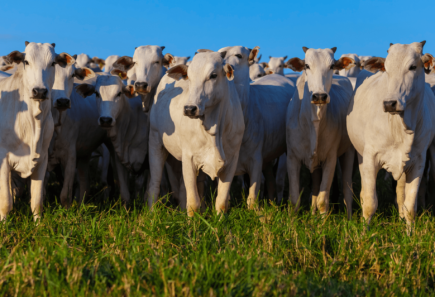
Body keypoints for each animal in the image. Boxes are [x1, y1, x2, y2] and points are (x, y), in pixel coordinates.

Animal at [0, 41, 74, 219]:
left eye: (53, 63)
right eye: (26, 62)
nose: (39, 91)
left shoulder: (42, 160)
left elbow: (37, 201)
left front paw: (39, 223)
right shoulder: (3, 160)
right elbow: (6, 202)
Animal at [147, 51, 245, 215]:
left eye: (213, 75)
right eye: (189, 77)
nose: (189, 109)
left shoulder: (232, 160)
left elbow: (221, 202)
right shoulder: (189, 158)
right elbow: (193, 203)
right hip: (155, 142)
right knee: (155, 181)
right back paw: (152, 212)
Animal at [286, 46, 358, 217]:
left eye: (332, 66)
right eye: (306, 66)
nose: (320, 96)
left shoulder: (330, 159)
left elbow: (322, 200)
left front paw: (323, 222)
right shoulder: (292, 158)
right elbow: (295, 199)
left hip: (348, 152)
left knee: (347, 189)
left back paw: (349, 217)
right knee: (315, 187)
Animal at [350, 41, 435, 230]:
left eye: (412, 67)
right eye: (386, 69)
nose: (389, 103)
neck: (401, 129)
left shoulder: (418, 162)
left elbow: (409, 206)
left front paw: (409, 232)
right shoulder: (370, 159)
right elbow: (370, 203)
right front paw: (364, 232)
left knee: (401, 195)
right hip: (360, 156)